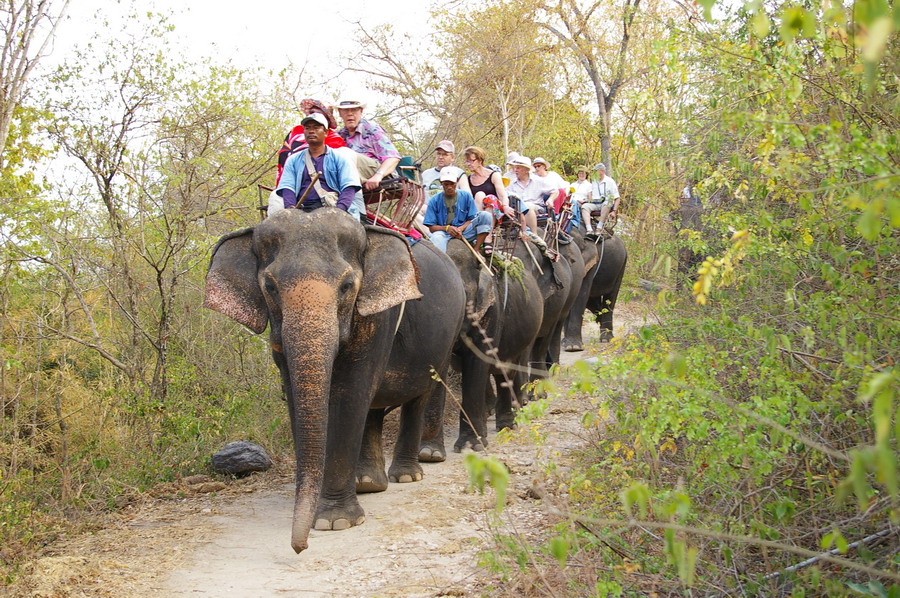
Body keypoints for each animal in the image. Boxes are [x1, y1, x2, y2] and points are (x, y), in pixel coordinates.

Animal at [204, 208, 465, 553]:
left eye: (347, 285)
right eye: (270, 287)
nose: (299, 547)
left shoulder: (375, 317)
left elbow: (348, 394)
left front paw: (335, 522)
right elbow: (299, 396)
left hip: (446, 336)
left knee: (418, 397)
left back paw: (407, 476)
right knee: (374, 409)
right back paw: (368, 483)